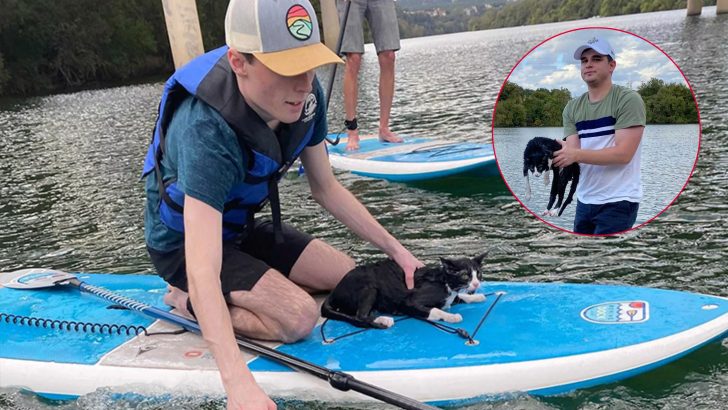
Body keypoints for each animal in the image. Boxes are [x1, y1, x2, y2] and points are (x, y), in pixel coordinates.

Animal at [320, 253, 486, 330]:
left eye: (478, 274)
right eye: (465, 276)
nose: (477, 283)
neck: (444, 282)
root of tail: (334, 291)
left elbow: (460, 296)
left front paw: (477, 297)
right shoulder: (409, 301)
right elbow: (435, 310)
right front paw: (451, 316)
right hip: (369, 287)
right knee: (359, 317)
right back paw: (383, 320)